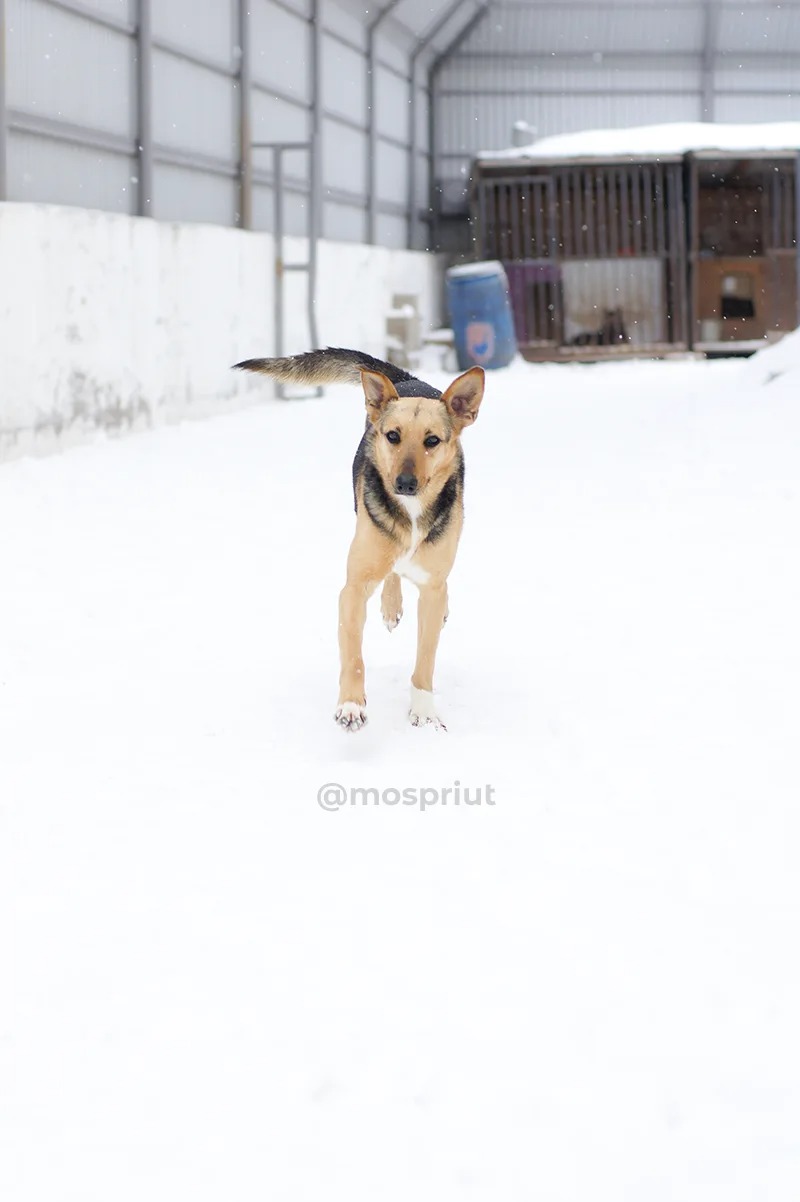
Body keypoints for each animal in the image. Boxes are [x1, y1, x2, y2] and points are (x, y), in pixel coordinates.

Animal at [230, 343, 480, 726]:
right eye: (392, 436)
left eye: (432, 441)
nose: (404, 484)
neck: (410, 514)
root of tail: (410, 380)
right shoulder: (353, 587)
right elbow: (353, 656)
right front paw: (351, 704)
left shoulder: (431, 587)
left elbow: (426, 655)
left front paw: (423, 708)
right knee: (391, 571)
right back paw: (391, 605)